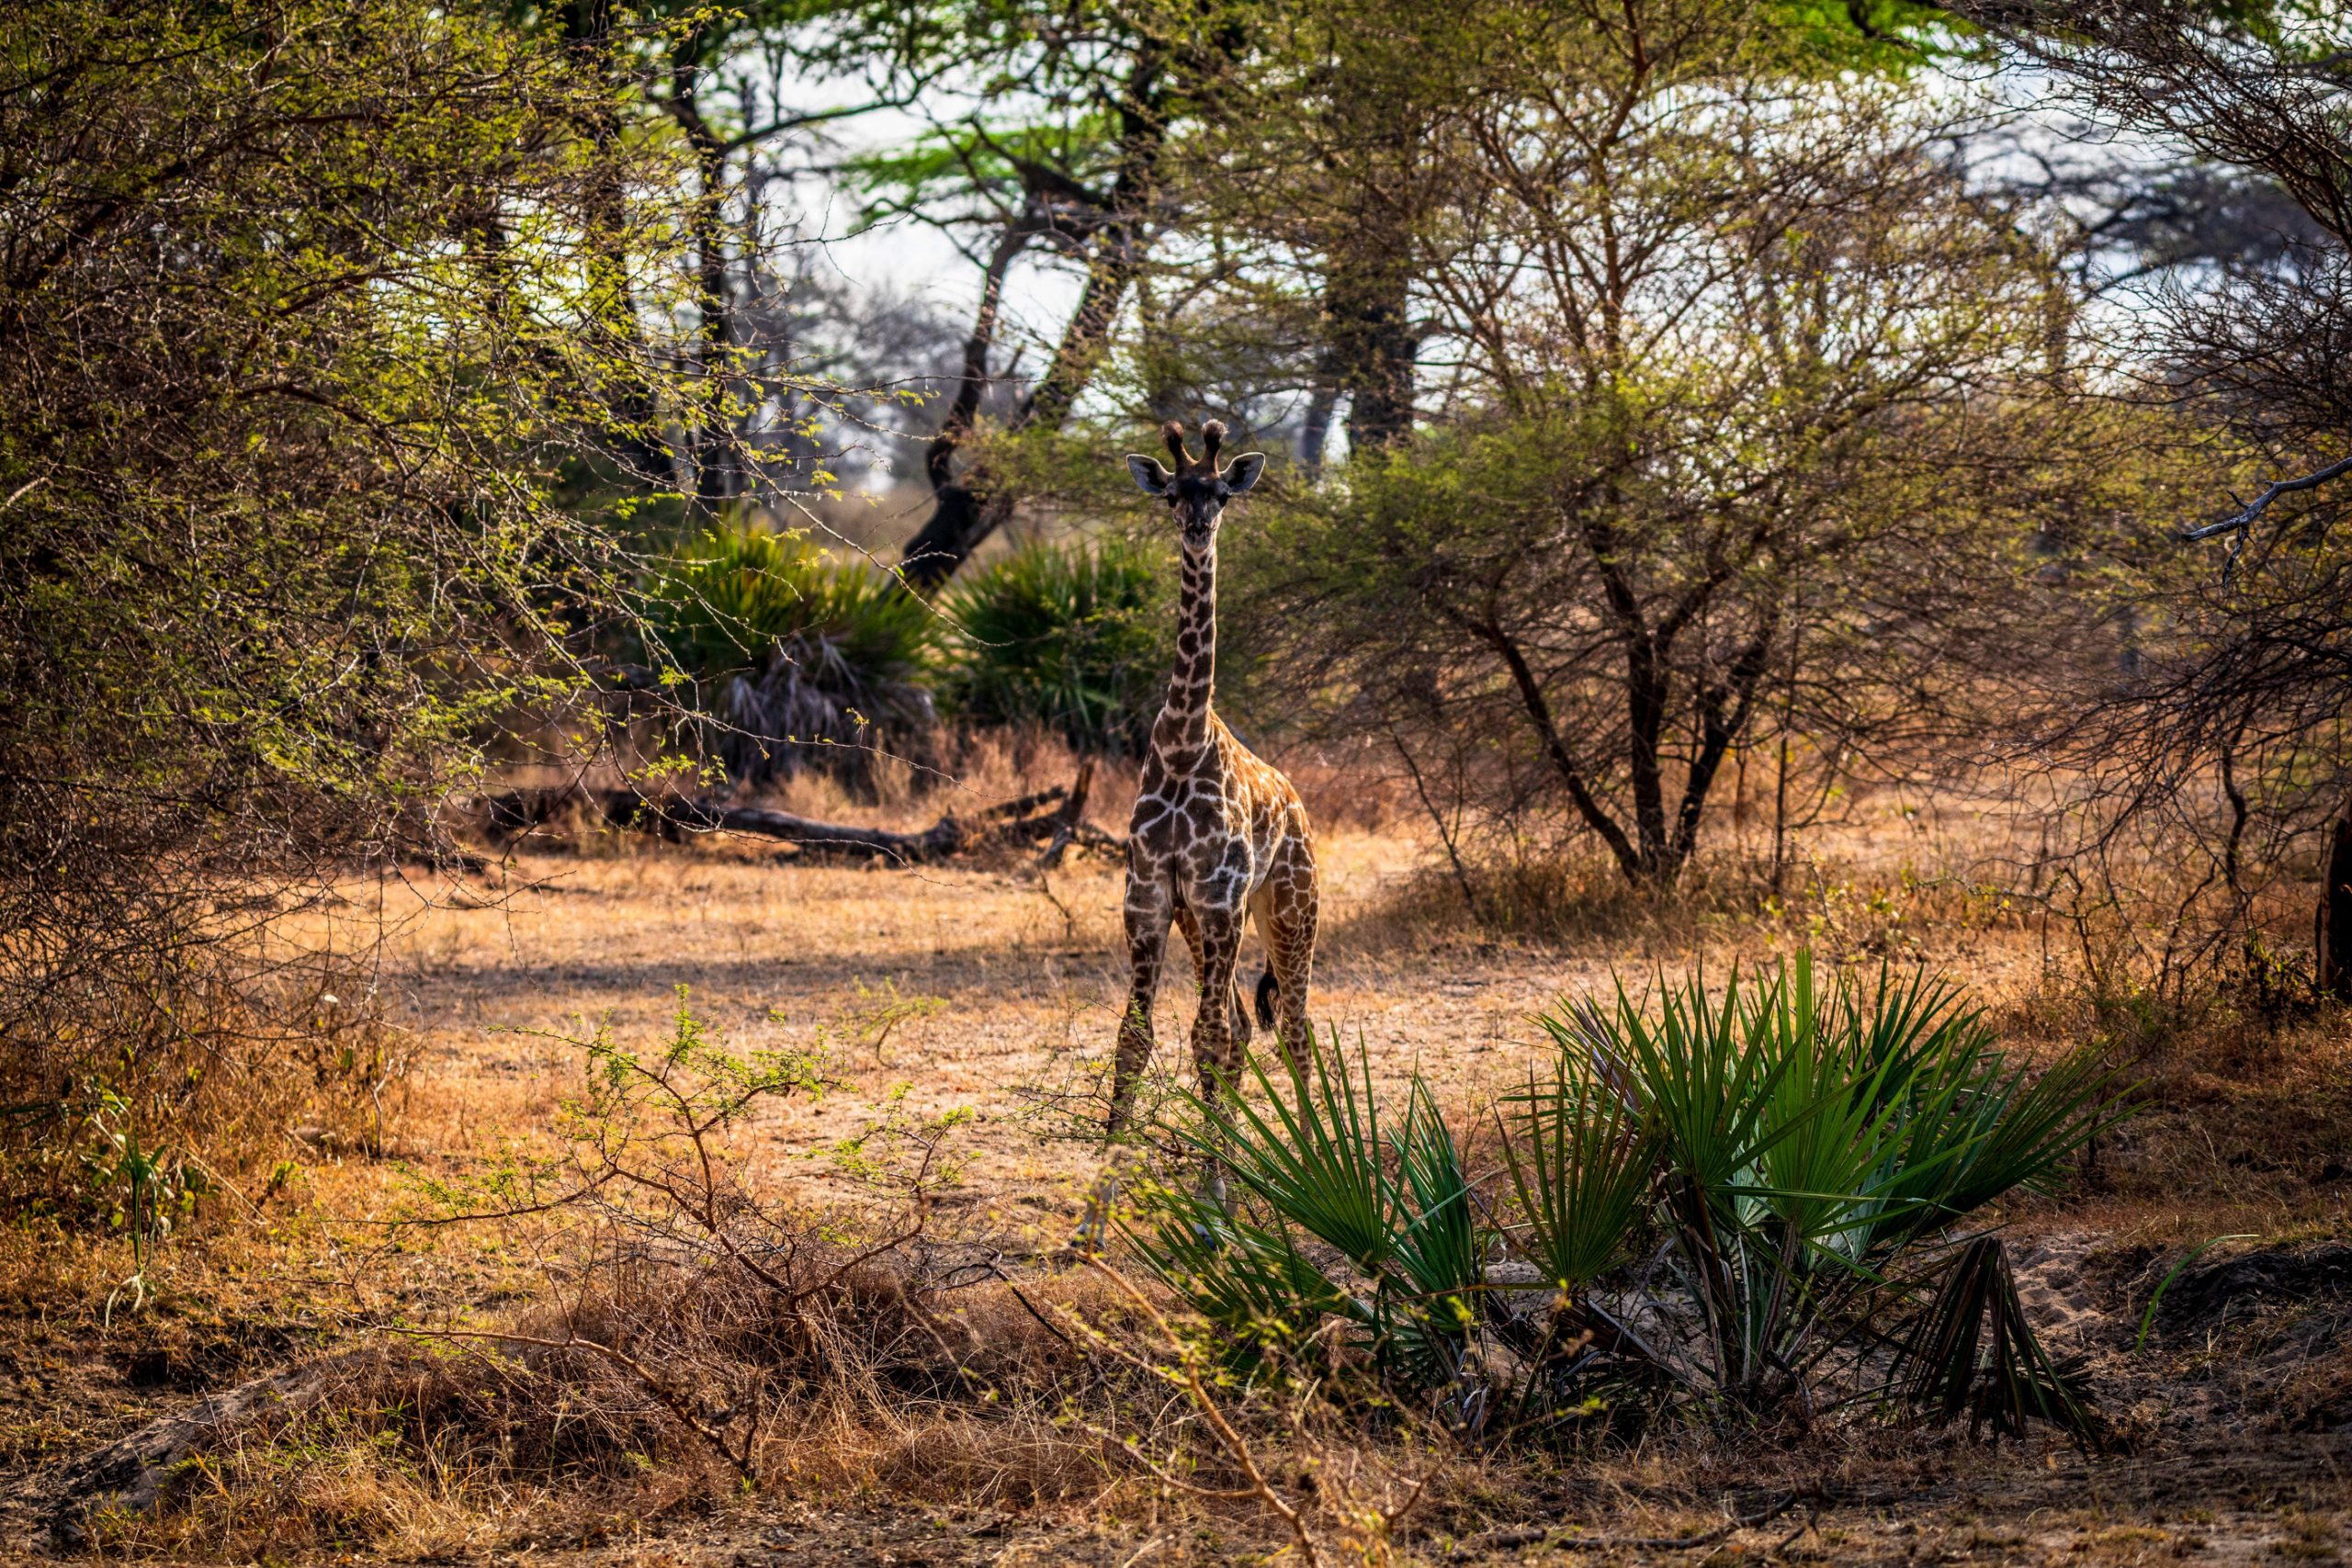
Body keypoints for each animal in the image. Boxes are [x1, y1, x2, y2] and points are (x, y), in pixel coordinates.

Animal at [1108, 419, 1319, 1135]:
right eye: (1174, 494)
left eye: (1222, 493)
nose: (1199, 528)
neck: (1181, 744)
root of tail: (1298, 804)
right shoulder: (1150, 899)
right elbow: (1136, 1036)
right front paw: (1109, 1157)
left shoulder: (1220, 897)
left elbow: (1205, 1035)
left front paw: (1216, 1164)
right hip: (1202, 921)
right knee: (1245, 1027)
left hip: (1290, 908)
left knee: (1294, 1026)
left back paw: (1314, 1148)